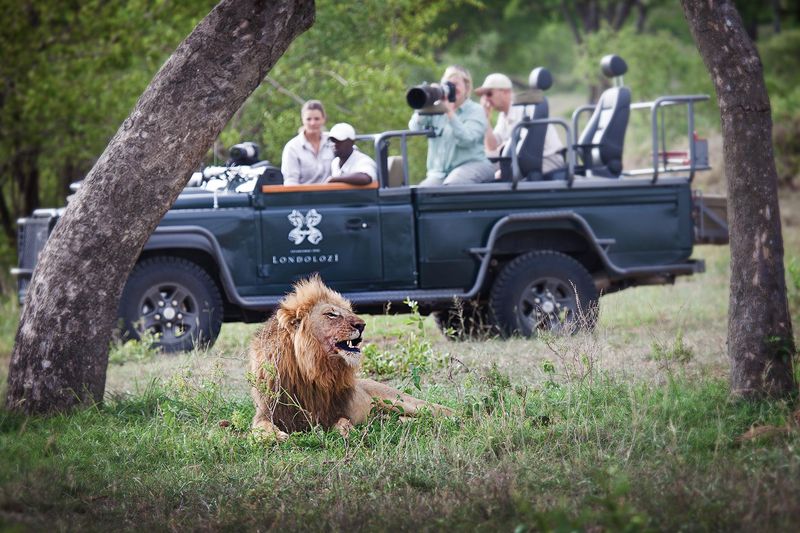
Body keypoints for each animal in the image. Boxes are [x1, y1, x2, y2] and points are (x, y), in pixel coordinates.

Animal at [249, 275, 453, 441]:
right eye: (332, 314)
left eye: (348, 312)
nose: (362, 325)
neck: (313, 369)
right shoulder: (267, 412)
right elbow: (260, 427)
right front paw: (276, 437)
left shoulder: (332, 412)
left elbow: (342, 421)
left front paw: (351, 433)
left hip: (402, 401)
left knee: (440, 409)